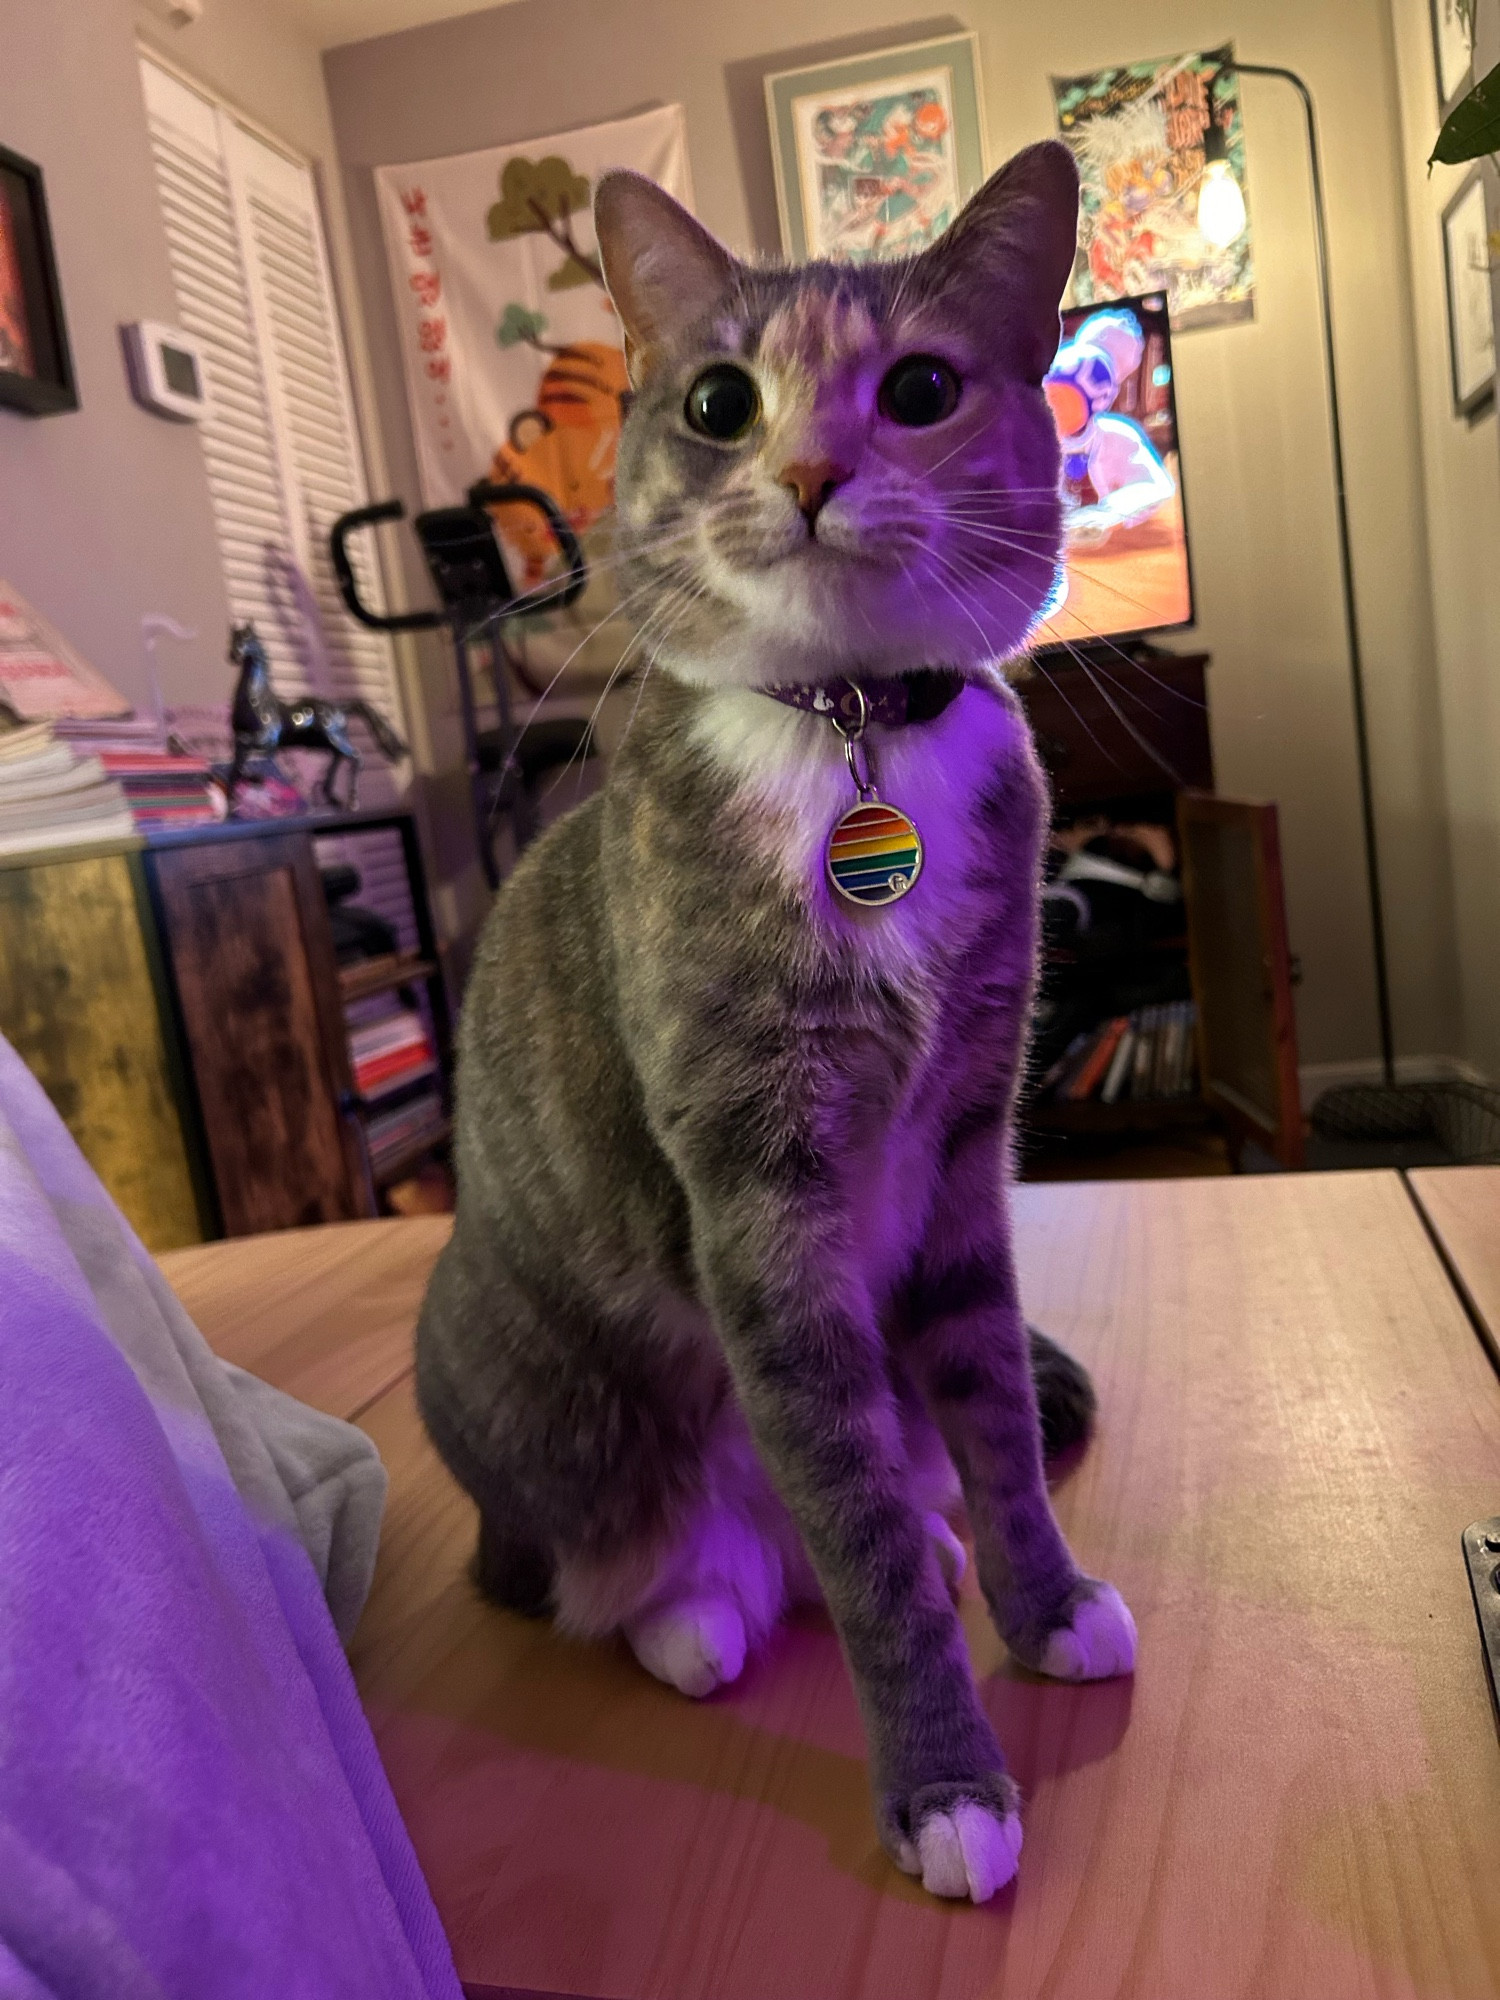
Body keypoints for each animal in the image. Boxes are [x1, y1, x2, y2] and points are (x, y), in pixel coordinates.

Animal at [414, 145, 1136, 1904]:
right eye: (718, 401)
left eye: (923, 388)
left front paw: (1041, 1599)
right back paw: (692, 1609)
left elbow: (996, 1424)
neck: (853, 740)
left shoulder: (963, 1152)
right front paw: (946, 1783)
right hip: (537, 1390)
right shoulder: (755, 1195)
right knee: (627, 1565)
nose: (808, 472)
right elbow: (856, 1526)